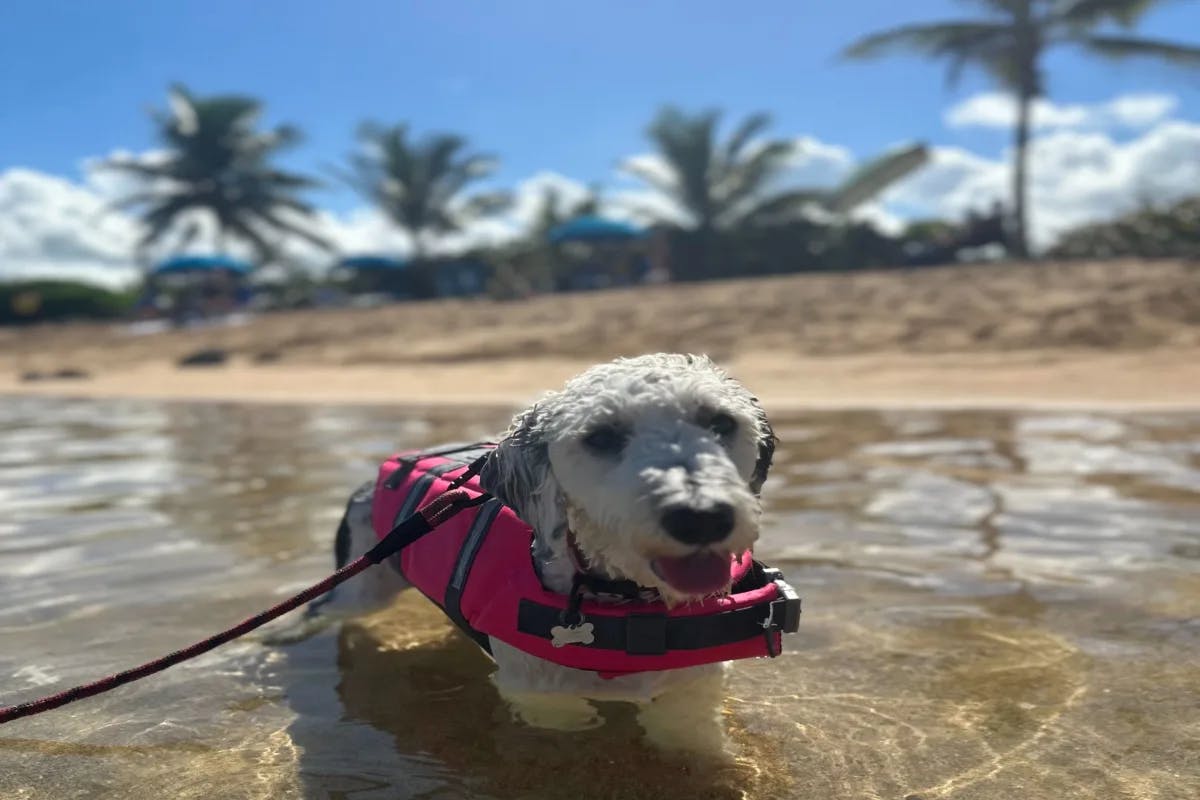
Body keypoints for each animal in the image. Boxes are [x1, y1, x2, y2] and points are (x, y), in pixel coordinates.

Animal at [326, 352, 777, 753]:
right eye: (601, 436)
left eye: (720, 422)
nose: (702, 516)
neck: (631, 606)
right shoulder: (544, 698)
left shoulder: (690, 691)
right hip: (360, 592)